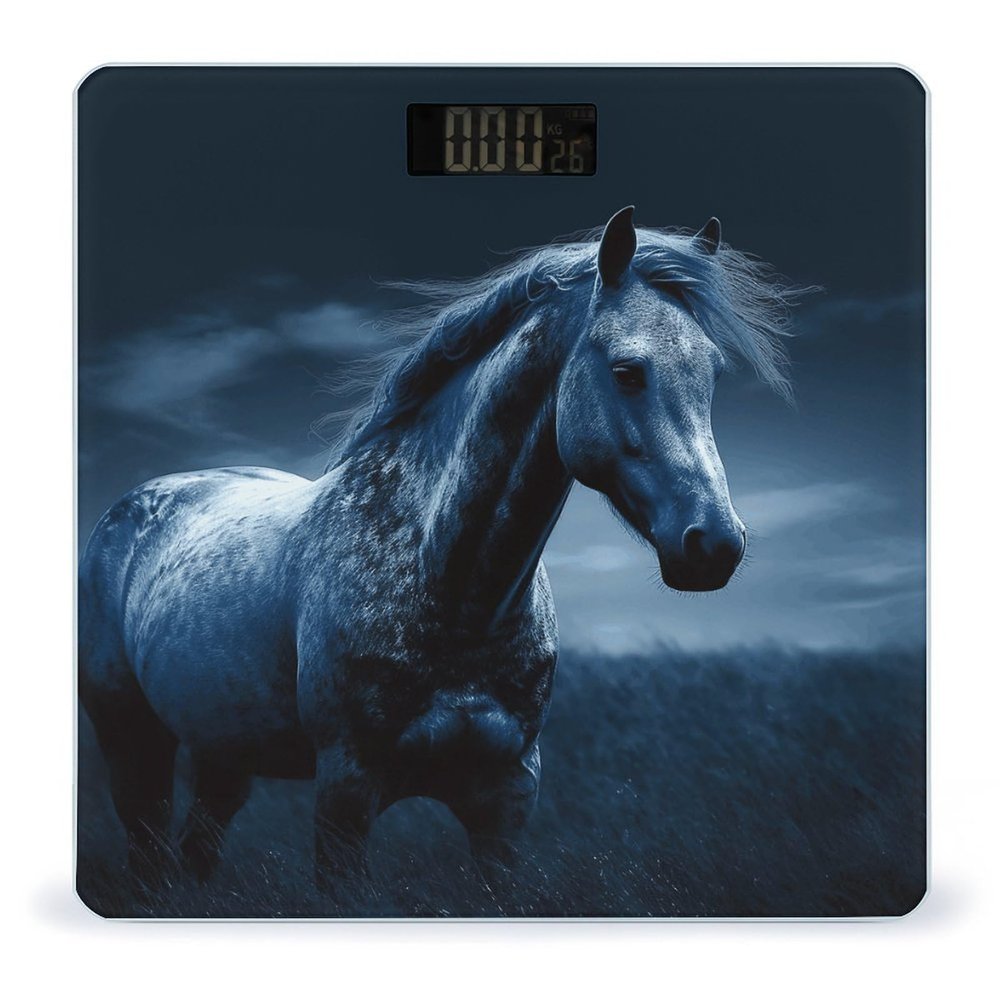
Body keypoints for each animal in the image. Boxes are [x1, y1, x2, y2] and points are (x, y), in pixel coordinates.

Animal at [78, 206, 798, 897]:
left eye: (712, 372)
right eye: (627, 371)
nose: (714, 544)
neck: (452, 589)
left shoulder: (507, 797)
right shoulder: (346, 791)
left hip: (224, 752)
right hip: (132, 741)